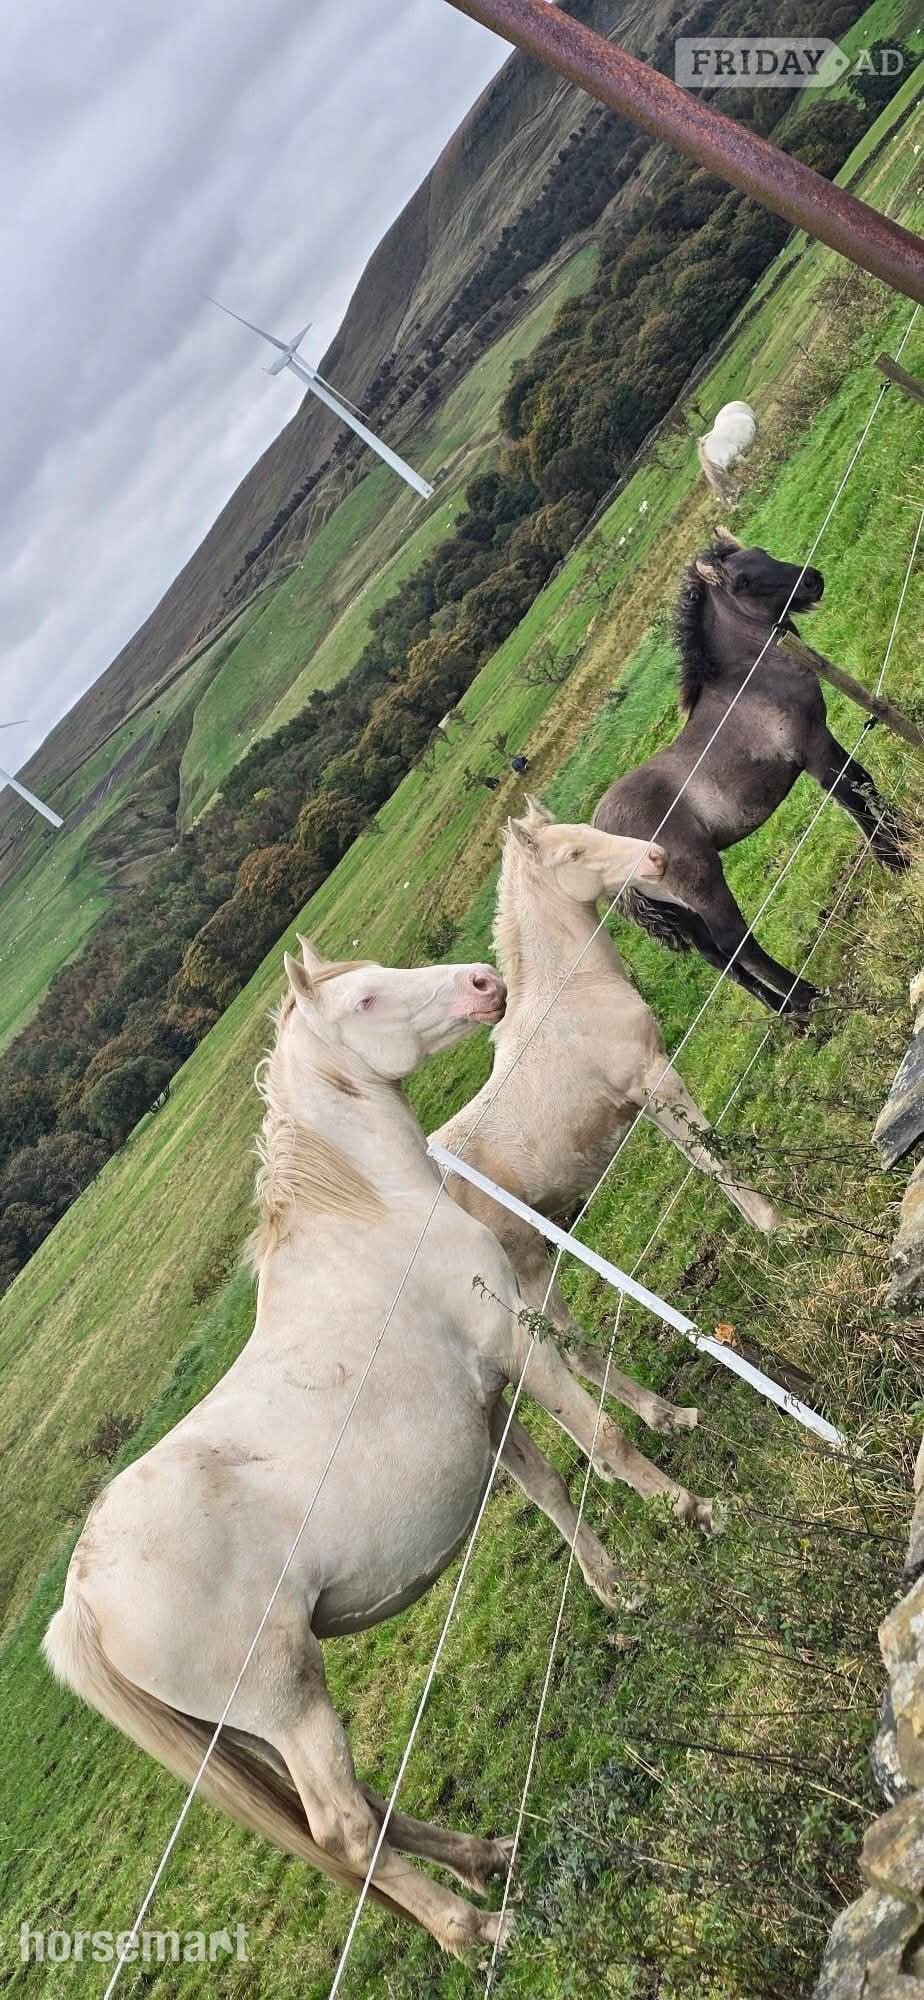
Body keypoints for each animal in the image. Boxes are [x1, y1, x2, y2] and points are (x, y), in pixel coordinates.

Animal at [43, 941, 712, 1956]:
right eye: (363, 997)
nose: (484, 983)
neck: (372, 1220)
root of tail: (82, 1598)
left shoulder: (485, 1405)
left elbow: (556, 1492)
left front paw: (624, 1591)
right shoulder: (516, 1347)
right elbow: (601, 1441)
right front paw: (694, 1511)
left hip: (254, 1730)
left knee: (370, 1812)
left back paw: (487, 1857)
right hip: (289, 1703)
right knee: (346, 1831)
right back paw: (479, 1930)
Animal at [434, 804, 778, 1417]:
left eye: (586, 830)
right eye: (572, 853)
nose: (656, 857)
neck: (570, 992)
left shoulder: (646, 1092)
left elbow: (699, 1157)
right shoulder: (656, 1078)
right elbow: (713, 1157)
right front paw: (777, 1227)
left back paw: (667, 1418)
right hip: (524, 1268)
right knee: (566, 1351)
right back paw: (663, 1417)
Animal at [593, 535, 908, 1017]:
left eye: (763, 553)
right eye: (742, 580)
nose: (812, 580)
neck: (750, 677)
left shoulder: (822, 739)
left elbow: (861, 786)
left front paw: (904, 846)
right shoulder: (812, 749)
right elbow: (853, 796)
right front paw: (898, 861)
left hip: (683, 912)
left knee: (718, 959)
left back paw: (790, 1015)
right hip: (703, 885)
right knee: (736, 944)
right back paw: (811, 1000)